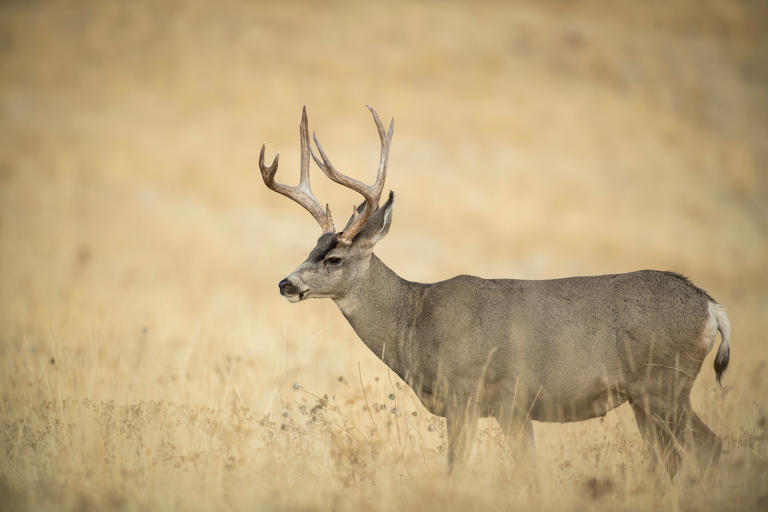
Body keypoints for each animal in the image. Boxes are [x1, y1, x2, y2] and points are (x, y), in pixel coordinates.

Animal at [256, 106, 728, 478]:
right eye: (312, 248)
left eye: (334, 259)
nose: (286, 283)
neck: (415, 321)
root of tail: (711, 307)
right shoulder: (510, 409)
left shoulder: (469, 395)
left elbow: (457, 469)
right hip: (648, 397)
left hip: (664, 384)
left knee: (707, 448)